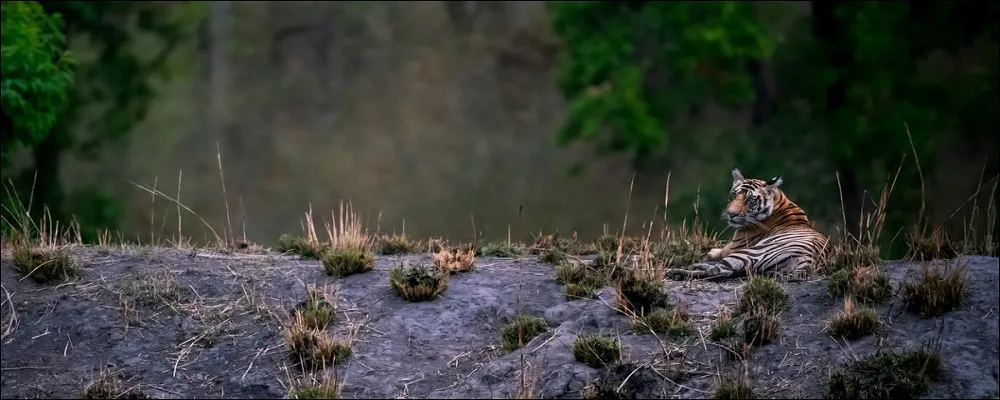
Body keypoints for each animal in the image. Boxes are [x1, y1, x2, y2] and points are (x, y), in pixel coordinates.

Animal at [665, 168, 829, 282]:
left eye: (750, 200)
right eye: (734, 195)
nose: (731, 214)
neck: (780, 201)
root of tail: (808, 264)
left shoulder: (734, 246)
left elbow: (718, 252)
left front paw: (711, 252)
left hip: (751, 252)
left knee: (718, 270)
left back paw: (677, 271)